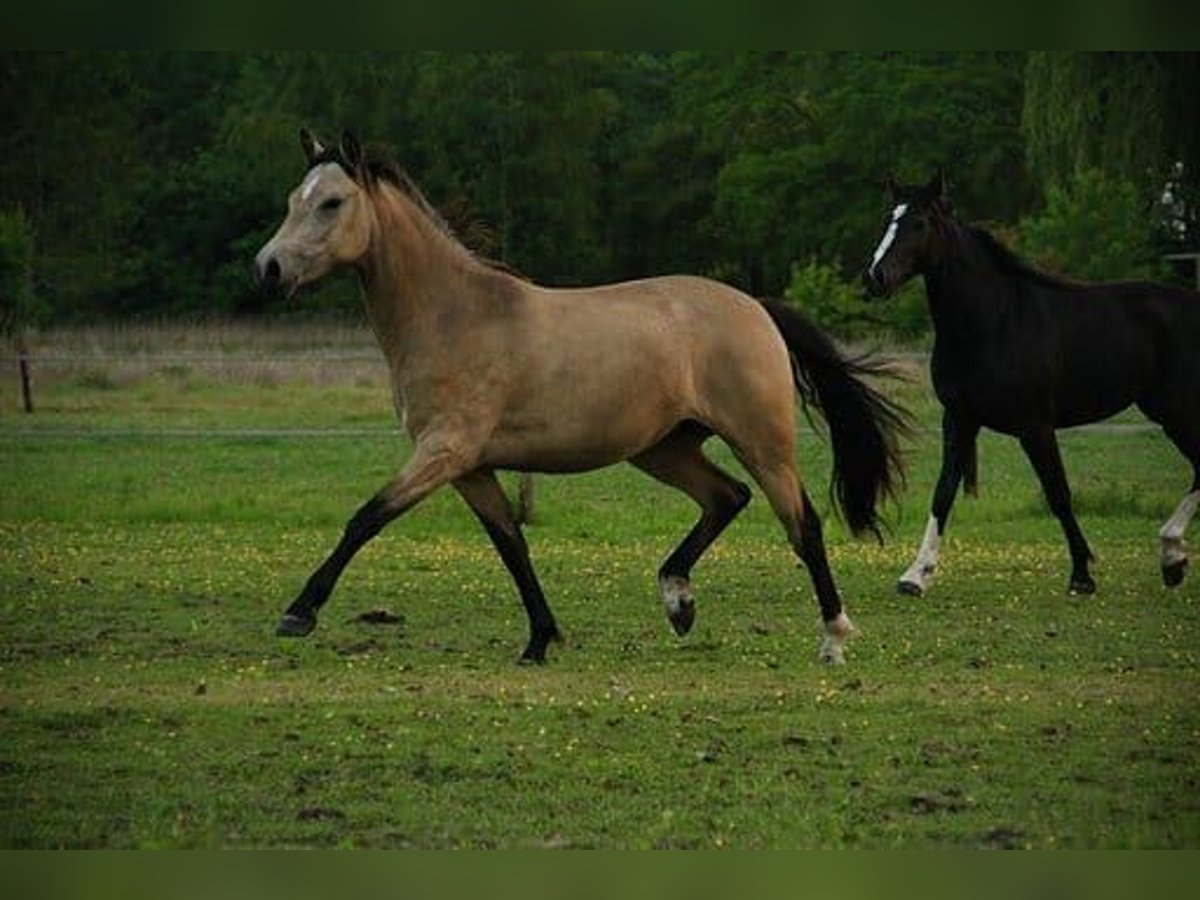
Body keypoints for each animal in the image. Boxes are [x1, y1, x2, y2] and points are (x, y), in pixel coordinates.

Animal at [864, 174, 1200, 602]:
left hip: (1179, 410)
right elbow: (943, 492)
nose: (874, 277)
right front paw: (915, 575)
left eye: (919, 224)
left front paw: (1082, 576)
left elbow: (1058, 494)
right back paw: (1173, 562)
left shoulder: (1035, 426)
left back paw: (1171, 553)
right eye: (888, 220)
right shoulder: (959, 419)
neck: (993, 322)